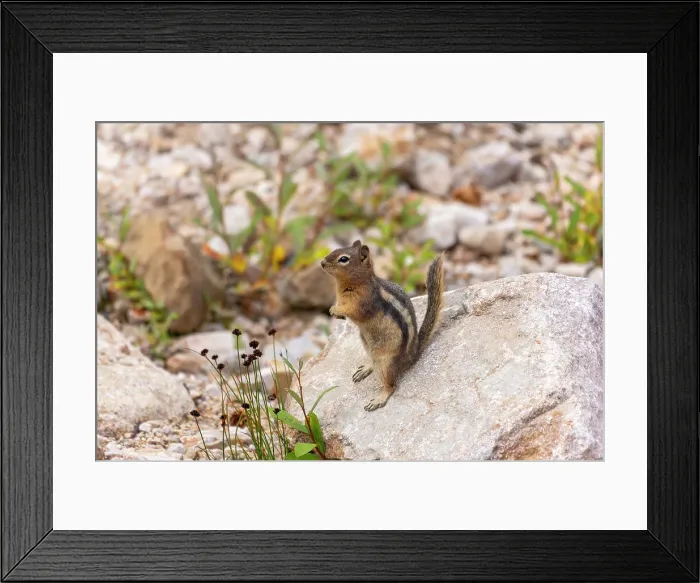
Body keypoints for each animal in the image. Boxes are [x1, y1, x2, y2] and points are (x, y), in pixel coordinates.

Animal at [320, 240, 445, 411]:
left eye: (343, 259)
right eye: (336, 249)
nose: (322, 263)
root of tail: (412, 355)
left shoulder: (362, 303)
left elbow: (352, 311)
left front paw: (336, 310)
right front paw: (335, 311)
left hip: (385, 362)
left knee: (391, 385)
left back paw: (379, 399)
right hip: (368, 346)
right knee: (373, 362)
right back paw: (365, 369)